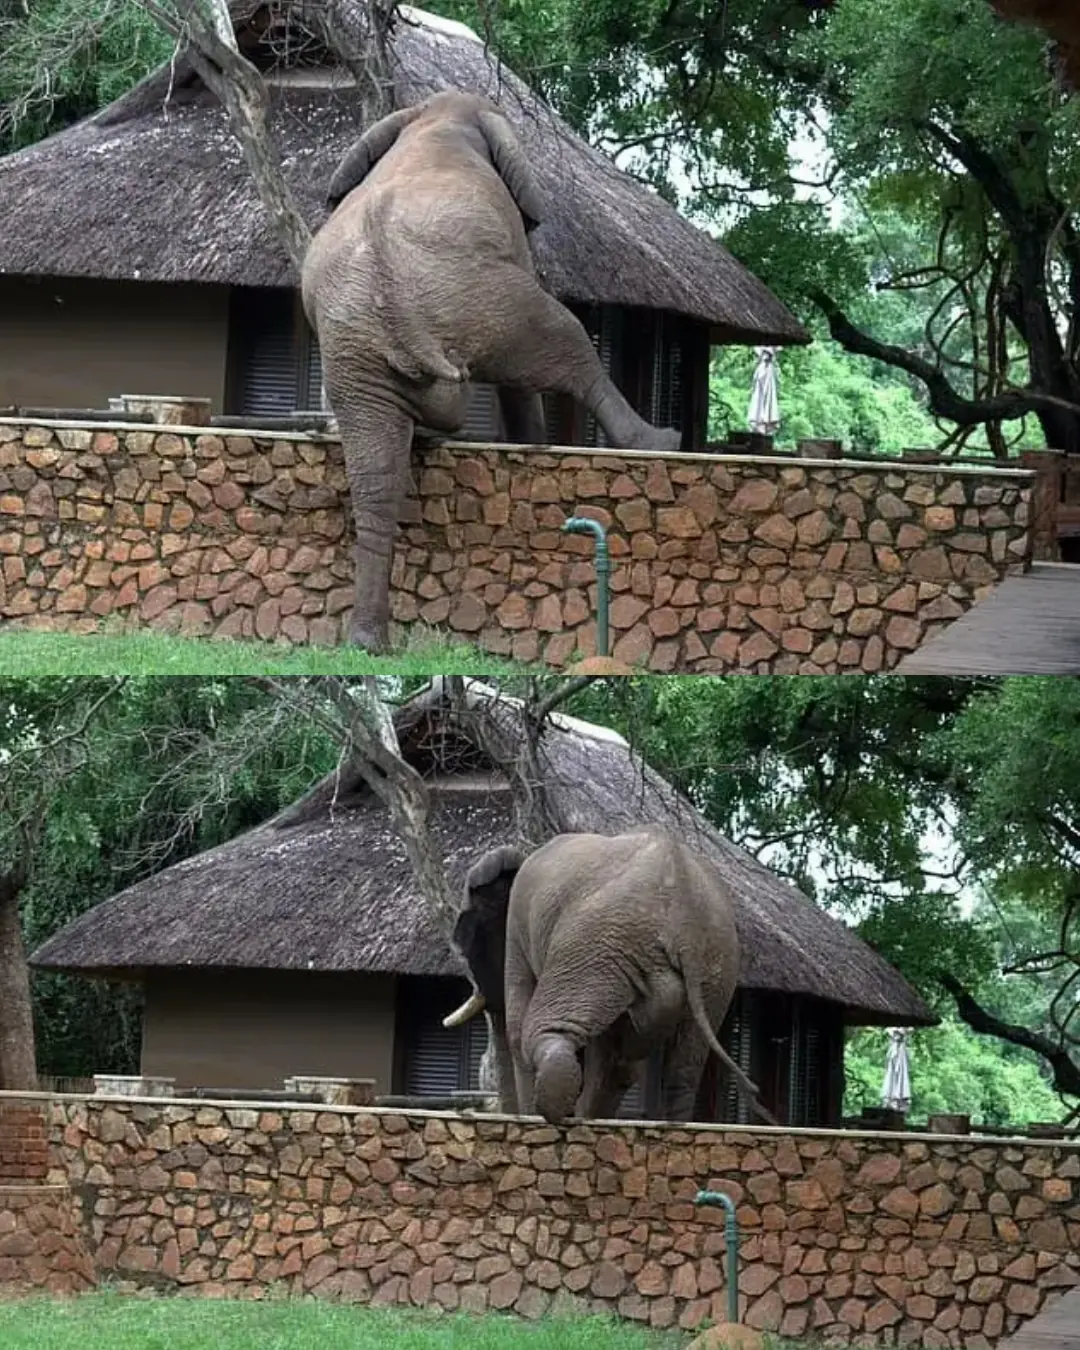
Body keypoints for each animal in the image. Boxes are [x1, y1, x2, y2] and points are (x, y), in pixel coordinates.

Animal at [300, 90, 683, 650]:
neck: (436, 117)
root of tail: (388, 275)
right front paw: (535, 445)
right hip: (486, 296)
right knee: (566, 341)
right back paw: (660, 441)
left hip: (356, 347)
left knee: (376, 474)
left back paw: (369, 643)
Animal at [442, 827, 777, 1127]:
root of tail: (686, 918)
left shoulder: (517, 930)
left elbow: (516, 1026)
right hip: (714, 965)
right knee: (679, 1064)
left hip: (597, 939)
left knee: (546, 1032)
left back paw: (556, 1115)